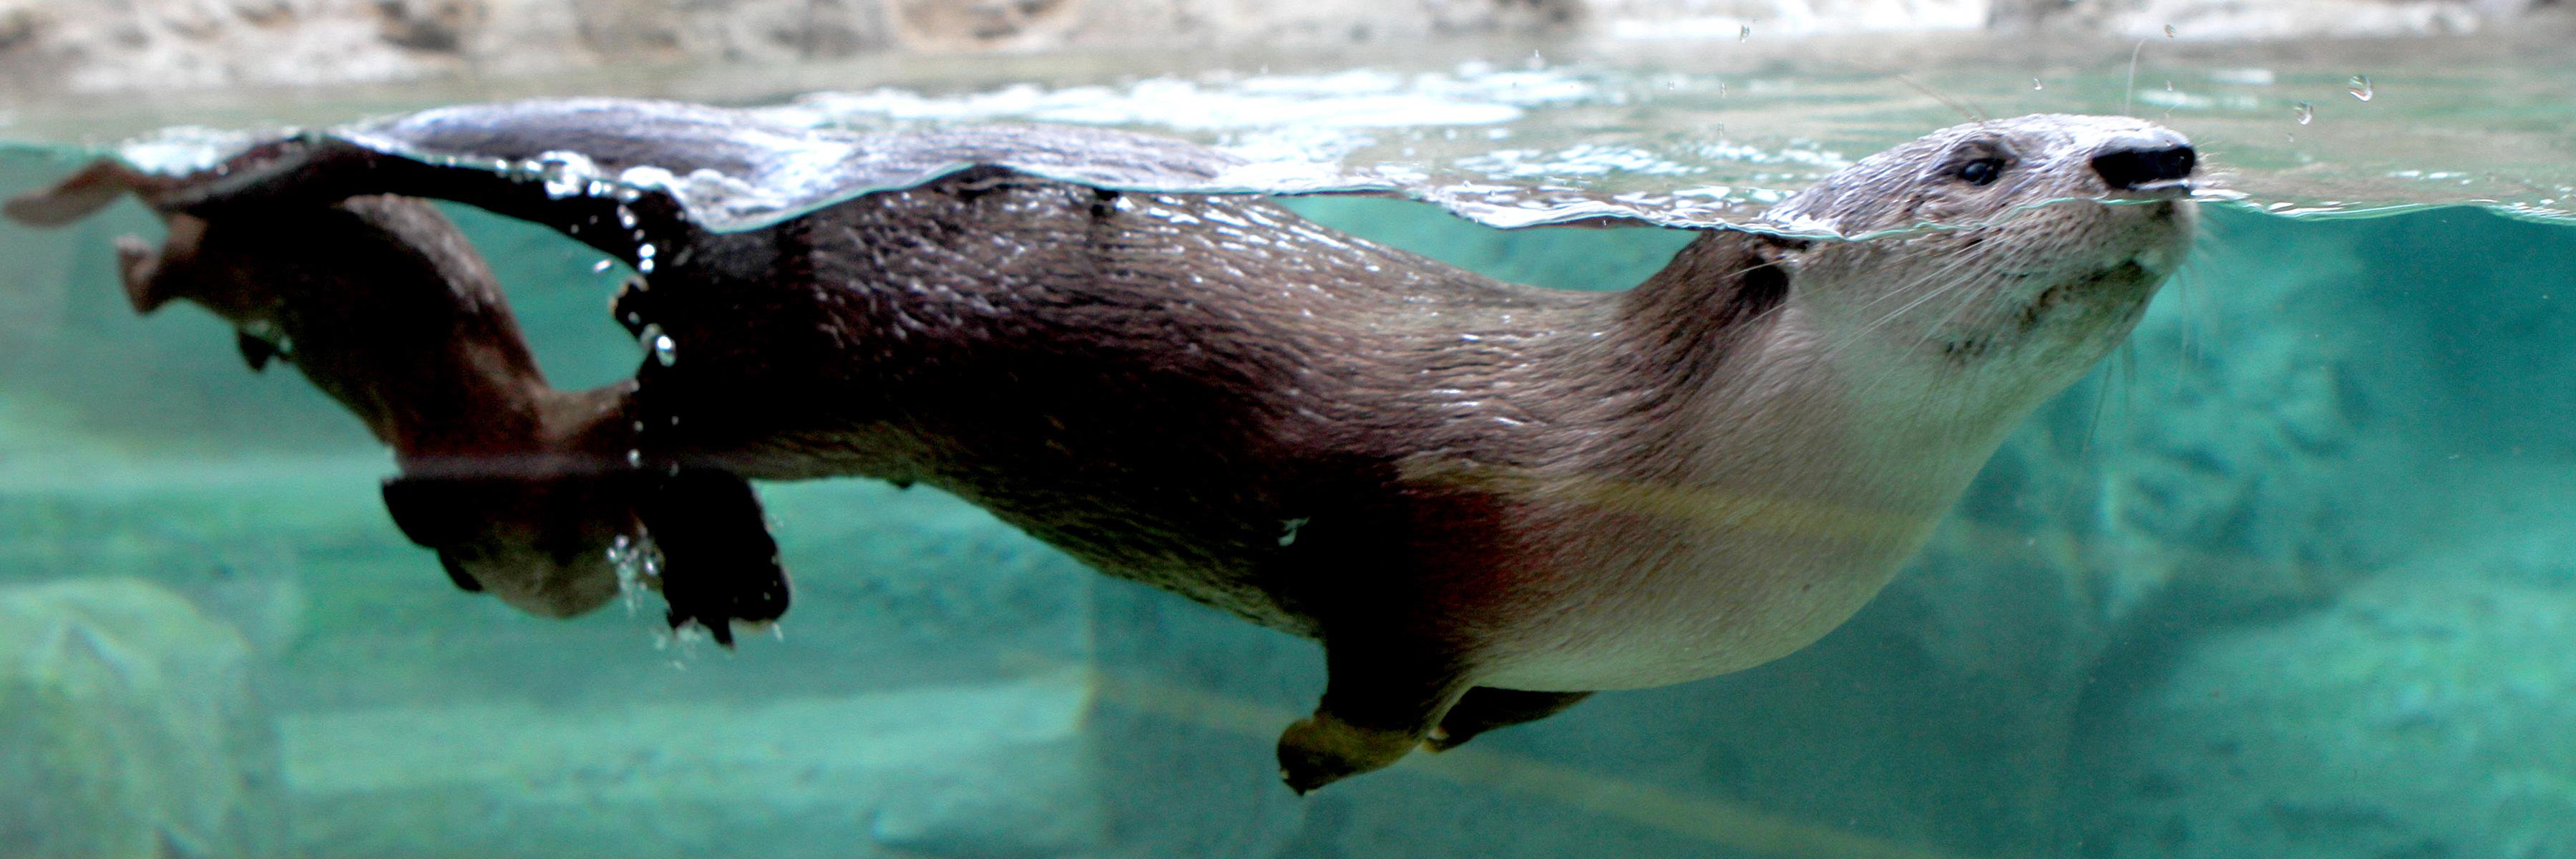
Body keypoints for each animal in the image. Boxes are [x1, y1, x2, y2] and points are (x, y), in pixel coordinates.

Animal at [11, 101, 2196, 792]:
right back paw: (714, 552)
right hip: (818, 343)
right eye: (1982, 157)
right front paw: (1323, 747)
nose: (2160, 152)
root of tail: (749, 177)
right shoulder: (1434, 501)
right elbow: (1369, 627)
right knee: (637, 406)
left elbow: (1496, 702)